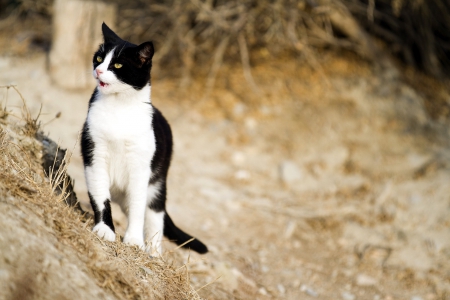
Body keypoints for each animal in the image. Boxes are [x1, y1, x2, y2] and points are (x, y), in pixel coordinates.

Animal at [80, 22, 207, 254]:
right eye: (99, 58)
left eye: (118, 65)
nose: (98, 70)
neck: (118, 107)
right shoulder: (94, 154)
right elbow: (100, 196)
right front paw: (105, 229)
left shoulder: (140, 167)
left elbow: (138, 208)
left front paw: (133, 240)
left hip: (157, 184)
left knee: (155, 215)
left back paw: (154, 252)